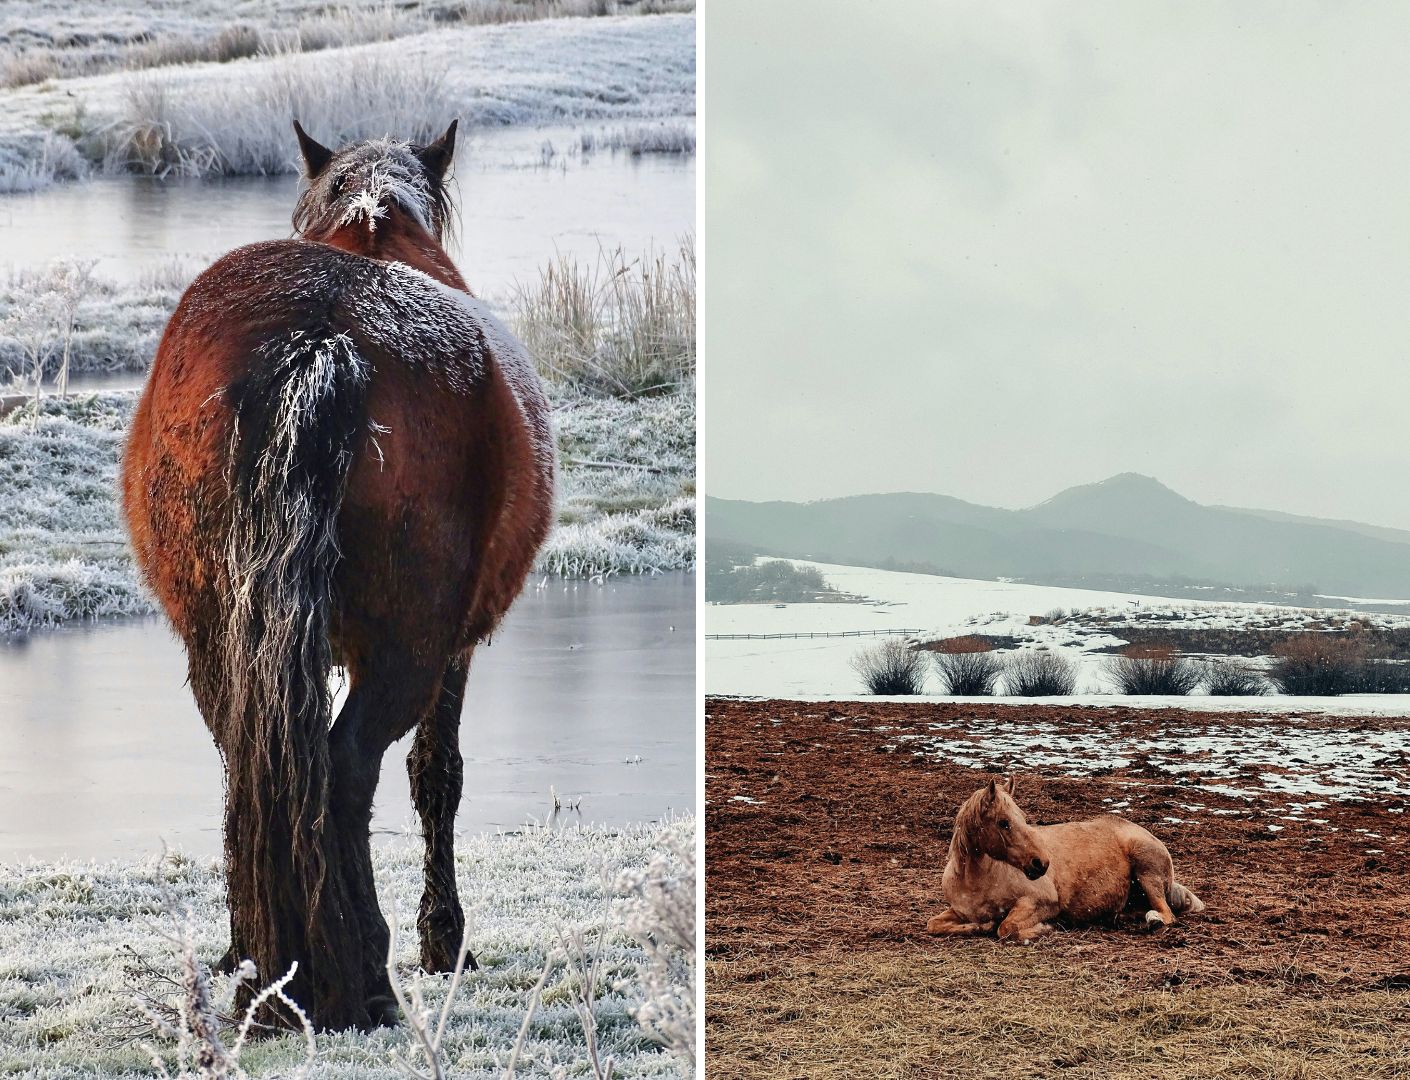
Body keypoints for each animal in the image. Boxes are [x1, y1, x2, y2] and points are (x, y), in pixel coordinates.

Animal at [121, 120, 555, 1031]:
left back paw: (273, 969)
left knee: (254, 760)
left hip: (220, 639)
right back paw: (364, 978)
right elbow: (437, 777)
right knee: (349, 767)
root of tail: (321, 337)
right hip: (407, 648)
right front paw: (444, 941)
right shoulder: (455, 649)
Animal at [924, 778, 1204, 944]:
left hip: (1147, 873)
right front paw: (978, 926)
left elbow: (1006, 928)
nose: (1041, 863)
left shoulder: (1042, 902)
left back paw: (1153, 921)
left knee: (1167, 914)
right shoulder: (958, 911)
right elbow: (933, 924)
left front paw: (1045, 928)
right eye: (1003, 822)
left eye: (1022, 818)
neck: (977, 883)